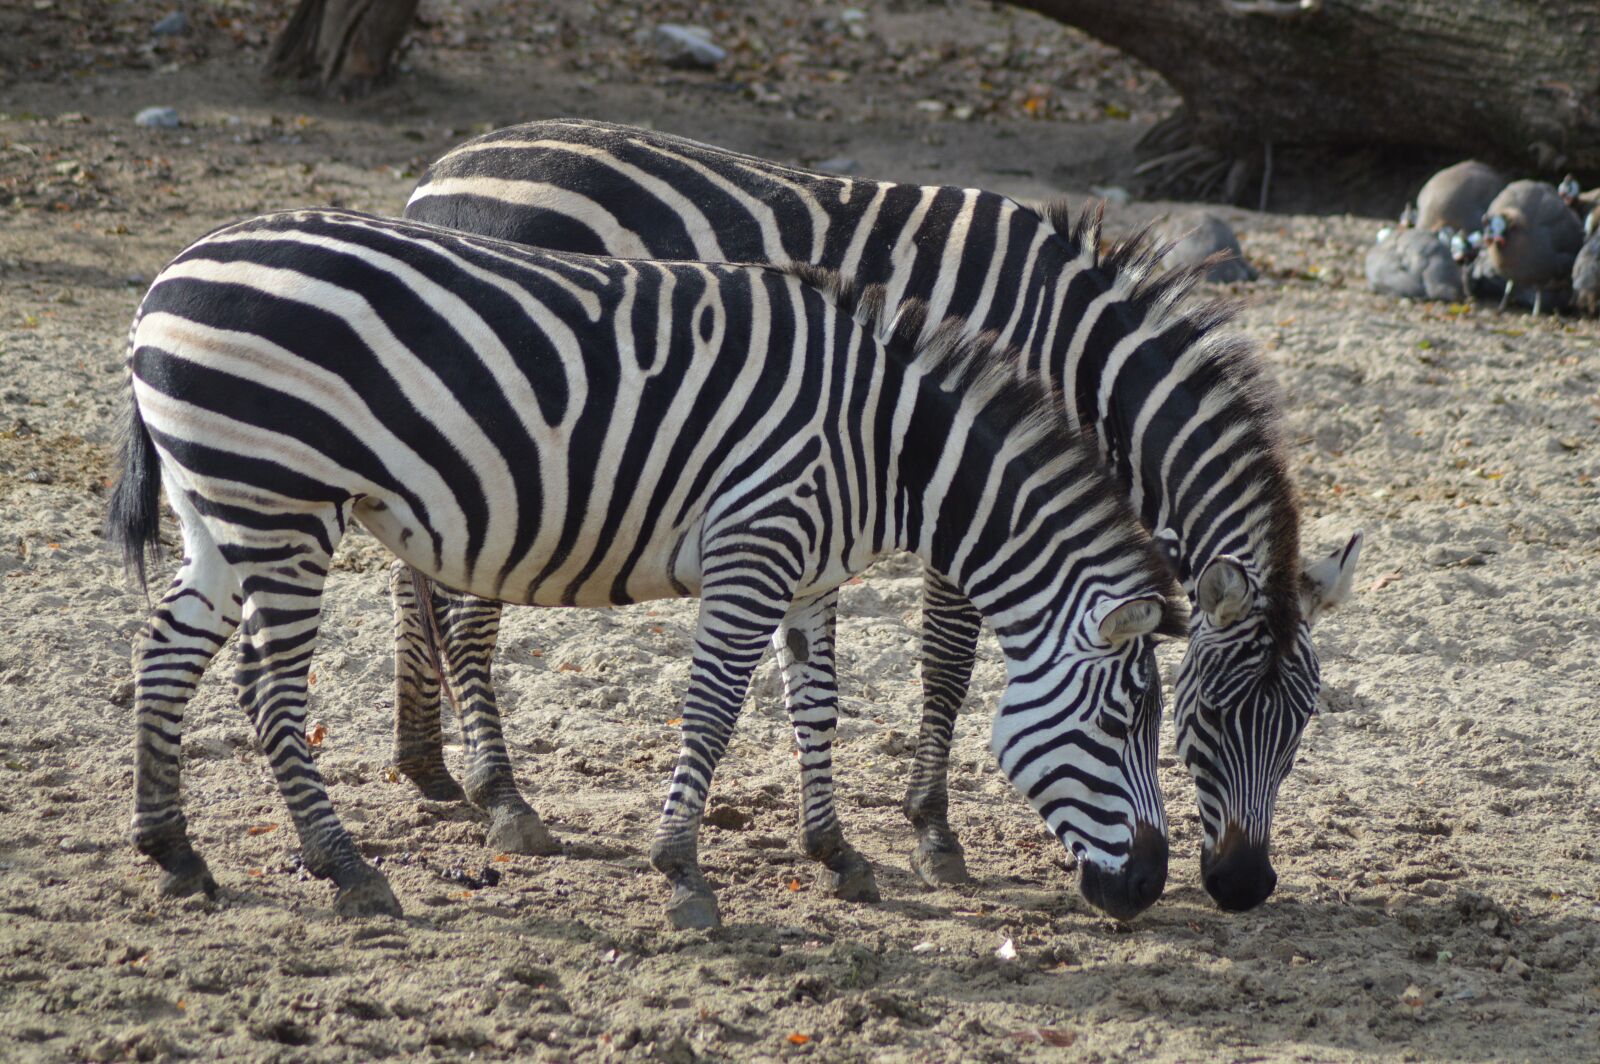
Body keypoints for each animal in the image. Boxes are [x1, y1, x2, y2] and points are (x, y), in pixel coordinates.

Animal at [107, 207, 1186, 926]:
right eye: (1124, 720)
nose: (1146, 887)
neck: (888, 444)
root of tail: (171, 273)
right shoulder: (755, 548)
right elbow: (711, 708)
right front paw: (681, 872)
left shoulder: (810, 571)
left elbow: (818, 707)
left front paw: (836, 852)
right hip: (282, 504)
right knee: (269, 691)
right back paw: (346, 868)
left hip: (221, 507)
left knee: (164, 653)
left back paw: (173, 852)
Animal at [398, 118, 1363, 911]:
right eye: (1210, 718)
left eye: (1302, 724)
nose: (1243, 886)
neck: (1073, 352)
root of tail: (443, 168)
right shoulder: (966, 475)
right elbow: (947, 661)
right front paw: (935, 833)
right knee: (463, 606)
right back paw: (503, 797)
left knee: (420, 574)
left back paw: (427, 765)